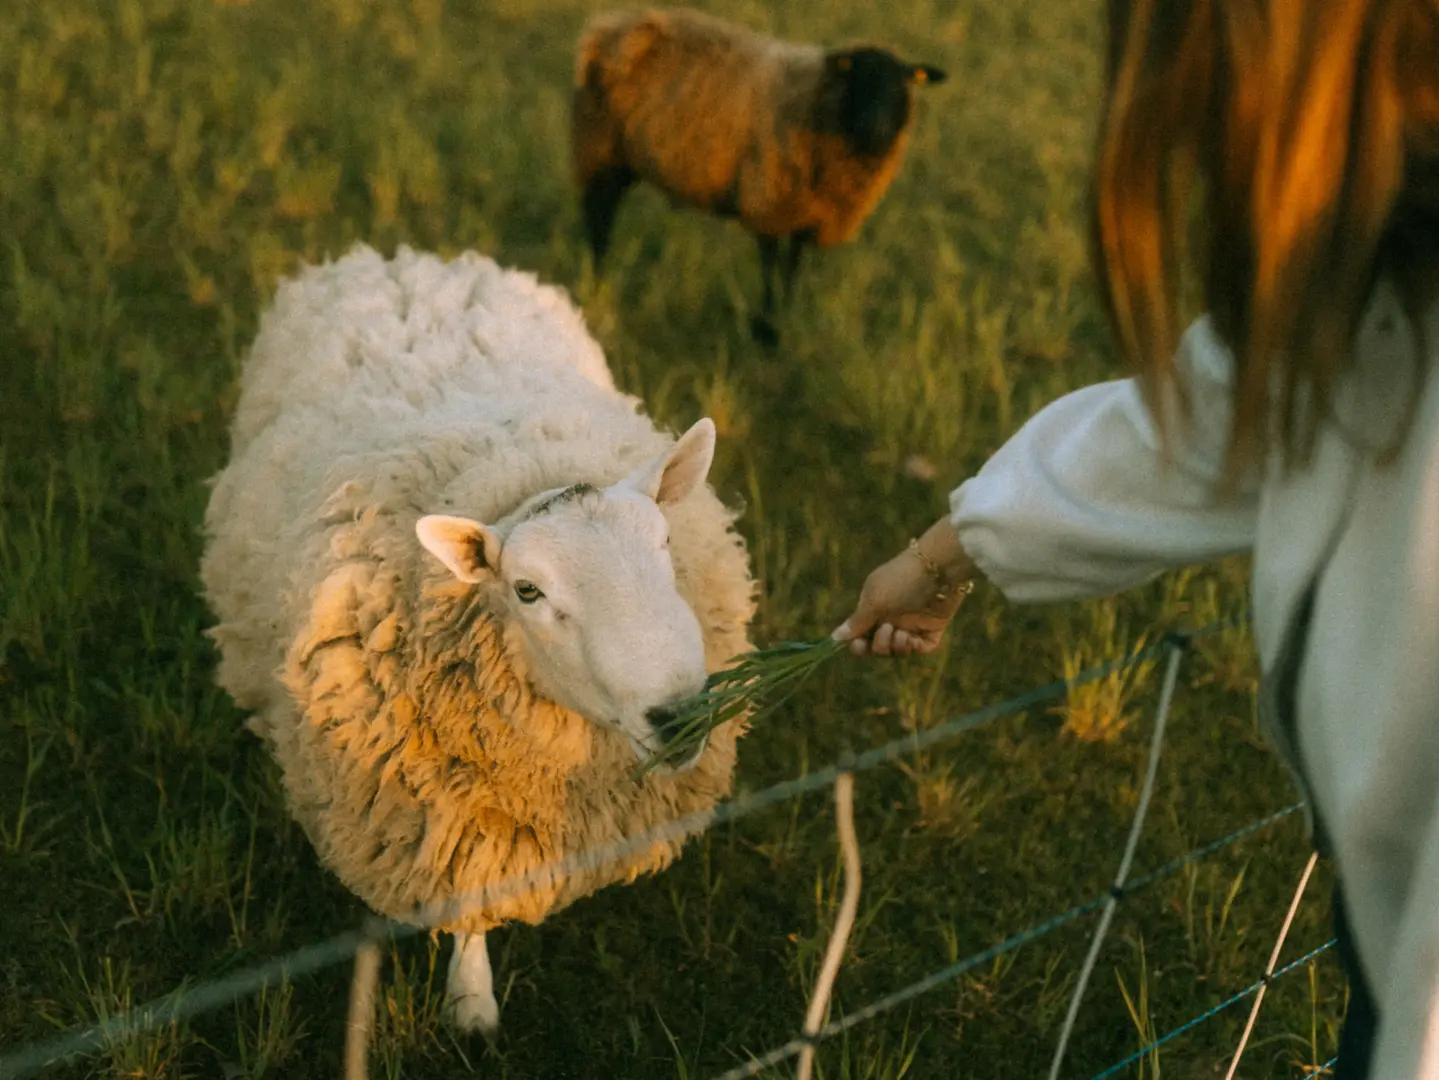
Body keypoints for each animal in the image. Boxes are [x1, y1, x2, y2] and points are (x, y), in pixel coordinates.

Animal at [199, 243, 757, 1034]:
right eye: (527, 591)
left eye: (664, 541)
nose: (680, 716)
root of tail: (404, 258)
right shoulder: (447, 817)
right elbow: (468, 905)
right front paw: (471, 1004)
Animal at [572, 7, 947, 346]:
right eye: (857, 82)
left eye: (901, 88)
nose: (876, 130)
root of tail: (611, 26)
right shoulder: (769, 198)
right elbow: (770, 265)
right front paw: (766, 329)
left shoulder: (806, 213)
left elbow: (792, 266)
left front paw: (784, 320)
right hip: (599, 149)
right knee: (598, 222)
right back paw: (596, 286)